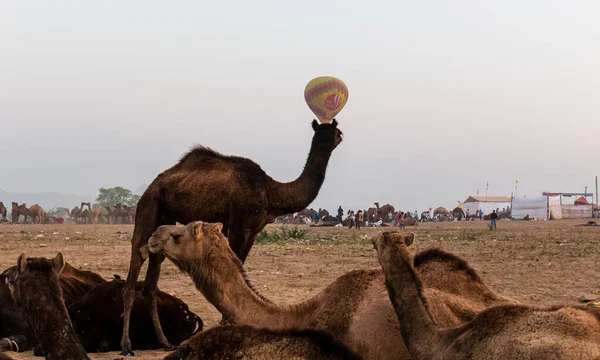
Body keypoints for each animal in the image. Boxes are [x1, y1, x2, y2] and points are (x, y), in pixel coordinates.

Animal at [118, 119, 342, 354]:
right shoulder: (239, 227)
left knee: (151, 283)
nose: (338, 137)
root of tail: (151, 188)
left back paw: (164, 342)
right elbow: (235, 262)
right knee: (134, 269)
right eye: (337, 132)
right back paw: (126, 345)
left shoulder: (253, 233)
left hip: (164, 219)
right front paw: (227, 321)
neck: (271, 192)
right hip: (148, 208)